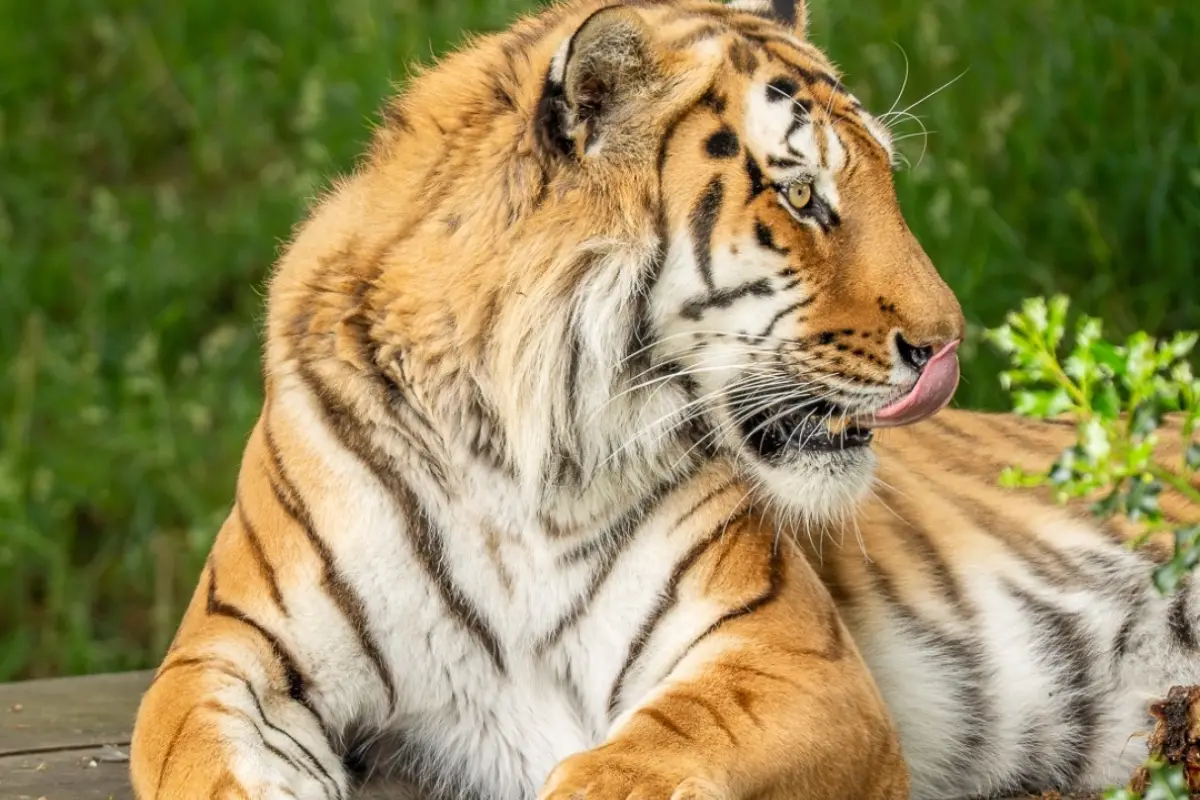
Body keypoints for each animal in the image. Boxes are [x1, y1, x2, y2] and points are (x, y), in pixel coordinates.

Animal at [129, 0, 1200, 798]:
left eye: (884, 182)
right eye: (802, 198)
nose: (949, 346)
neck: (511, 456)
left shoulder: (788, 659)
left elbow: (632, 766)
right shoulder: (227, 652)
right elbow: (197, 761)